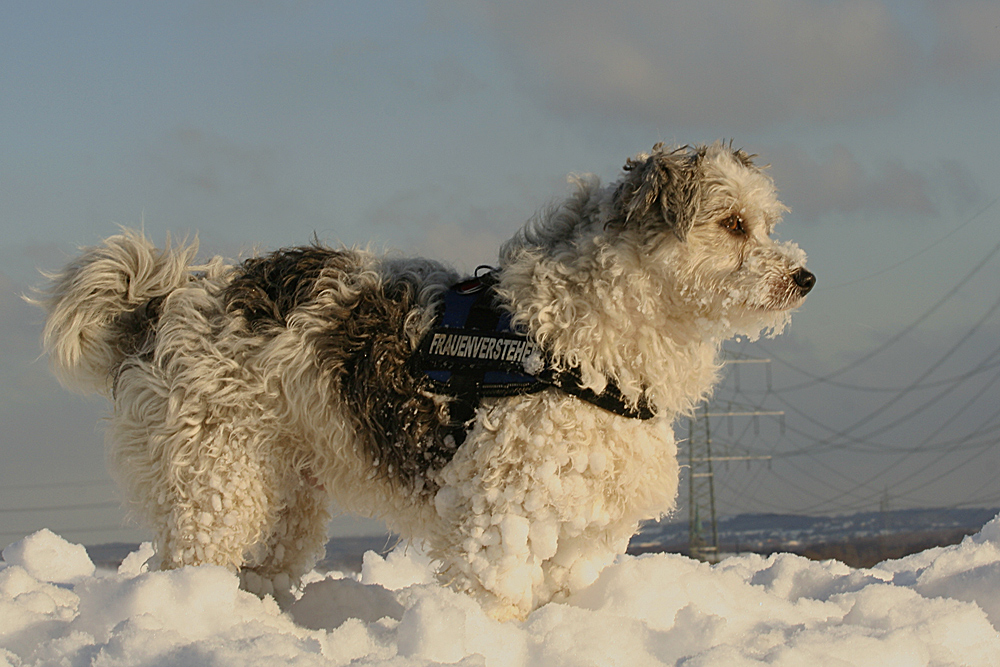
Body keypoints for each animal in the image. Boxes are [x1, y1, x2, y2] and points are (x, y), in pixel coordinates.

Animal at [37, 142, 812, 620]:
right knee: (189, 566)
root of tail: (163, 302)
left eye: (766, 222)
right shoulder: (501, 512)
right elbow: (499, 597)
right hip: (215, 484)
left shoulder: (584, 524)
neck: (579, 336)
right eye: (733, 223)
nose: (805, 276)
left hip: (287, 493)